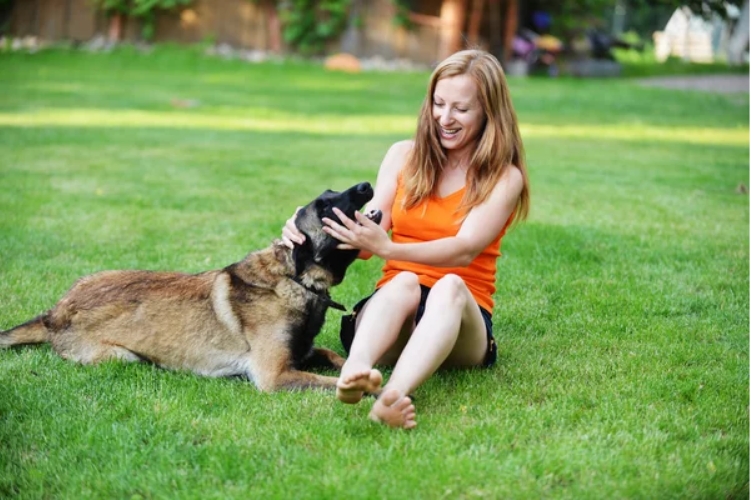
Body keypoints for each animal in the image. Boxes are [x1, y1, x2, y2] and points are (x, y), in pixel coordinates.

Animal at [0, 182, 382, 392]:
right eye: (325, 205)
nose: (366, 185)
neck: (292, 278)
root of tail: (55, 311)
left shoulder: (302, 353)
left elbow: (335, 356)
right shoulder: (275, 375)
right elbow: (332, 382)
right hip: (123, 356)